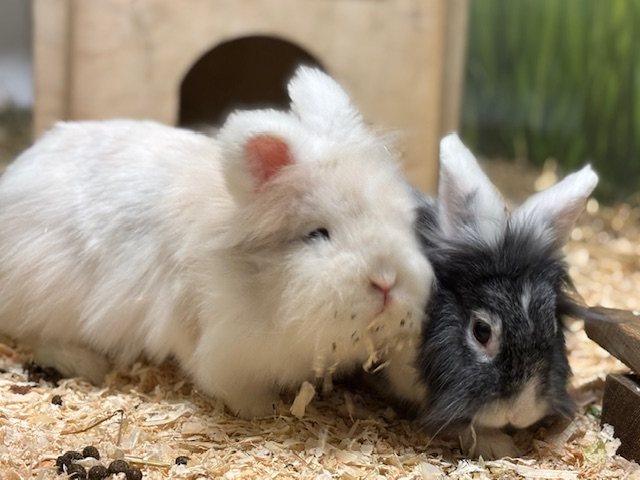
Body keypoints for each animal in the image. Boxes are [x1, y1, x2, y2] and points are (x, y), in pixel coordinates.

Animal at [0, 66, 433, 418]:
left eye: (402, 220)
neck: (260, 278)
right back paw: (86, 364)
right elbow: (231, 387)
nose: (386, 281)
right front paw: (262, 411)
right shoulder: (226, 350)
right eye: (317, 234)